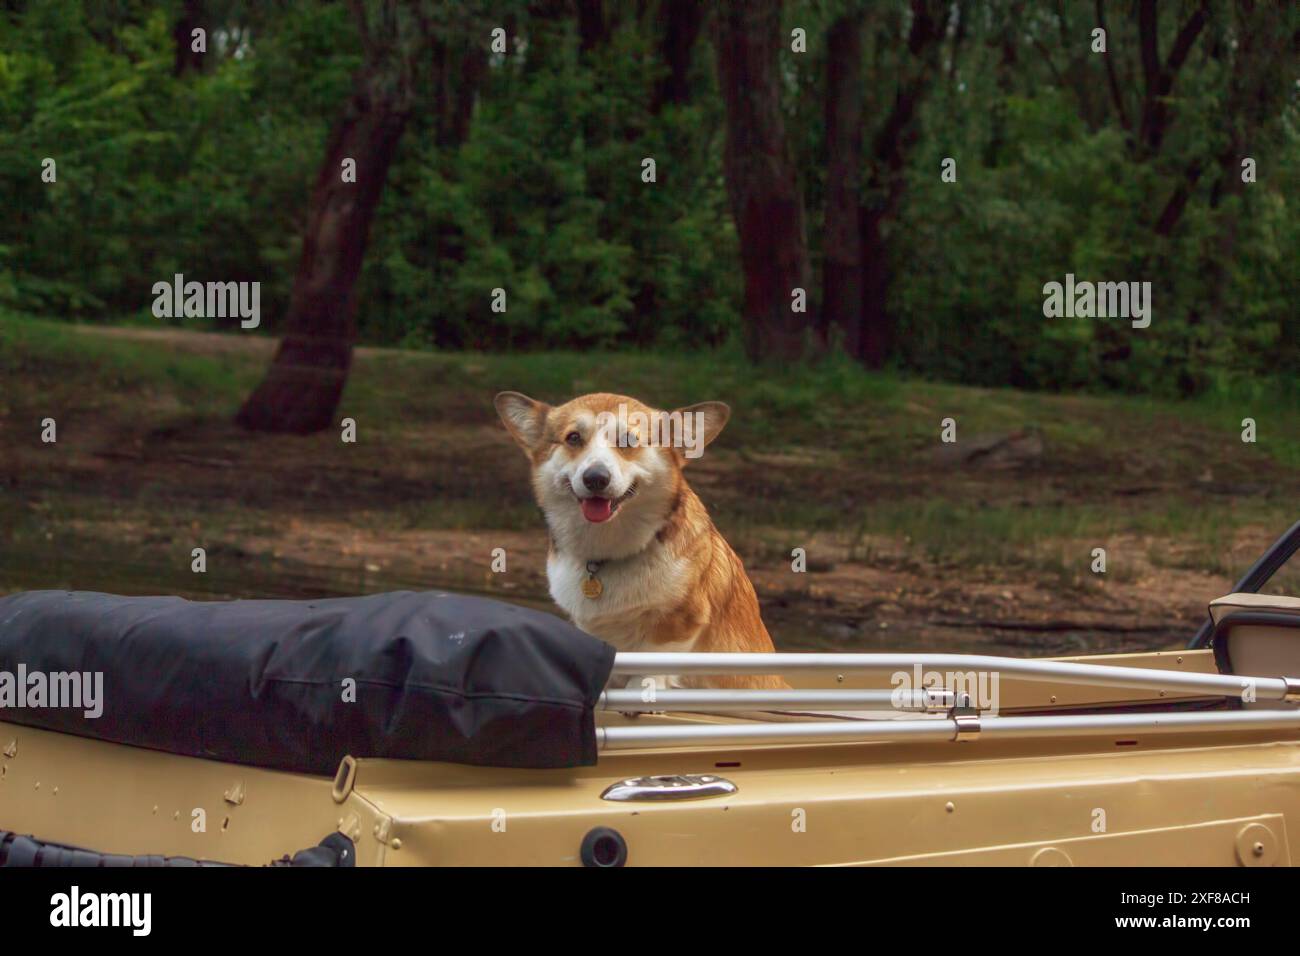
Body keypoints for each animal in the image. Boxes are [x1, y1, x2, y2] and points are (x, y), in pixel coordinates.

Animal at [491, 392, 785, 691]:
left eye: (628, 441)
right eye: (573, 438)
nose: (595, 478)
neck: (607, 551)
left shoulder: (678, 623)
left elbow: (650, 665)